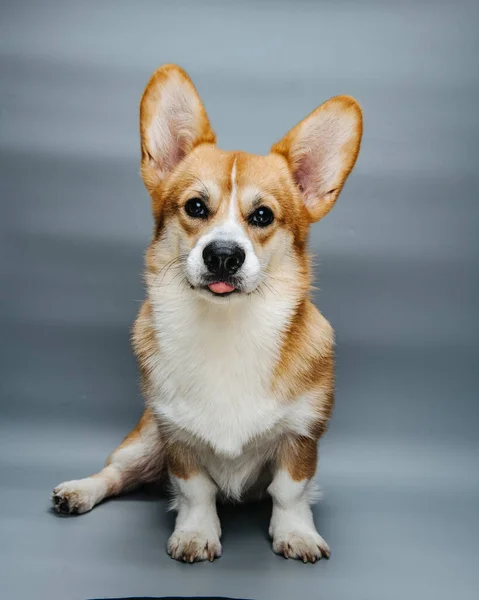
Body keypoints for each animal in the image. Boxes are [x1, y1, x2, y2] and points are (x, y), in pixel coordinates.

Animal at [50, 64, 362, 564]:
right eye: (196, 207)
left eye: (262, 215)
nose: (223, 255)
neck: (227, 329)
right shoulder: (177, 437)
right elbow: (195, 491)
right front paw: (196, 533)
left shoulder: (302, 436)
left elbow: (290, 492)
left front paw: (296, 534)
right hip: (144, 442)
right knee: (116, 474)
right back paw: (79, 491)